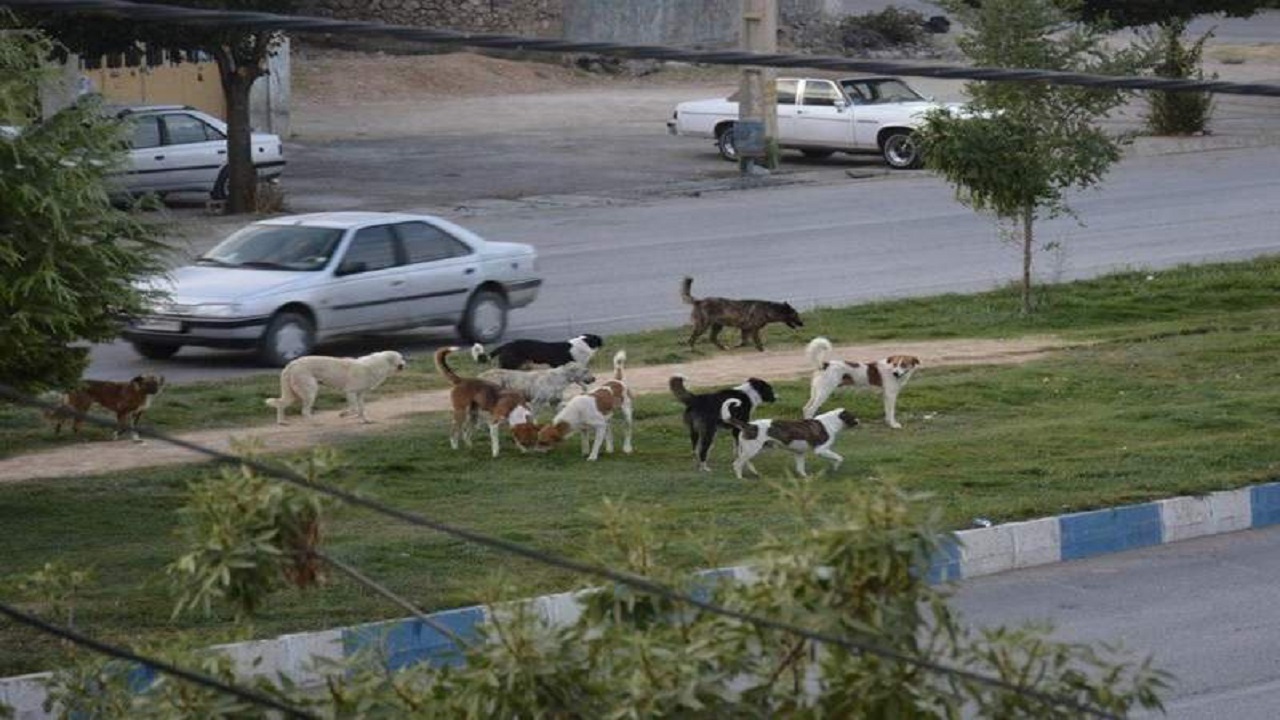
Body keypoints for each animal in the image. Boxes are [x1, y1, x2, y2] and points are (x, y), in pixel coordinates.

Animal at [267, 348, 407, 420]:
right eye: (400, 358)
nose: (405, 364)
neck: (377, 365)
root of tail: (292, 363)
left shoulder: (360, 394)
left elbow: (361, 408)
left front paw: (365, 420)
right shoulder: (350, 392)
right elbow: (354, 408)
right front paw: (344, 414)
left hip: (294, 393)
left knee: (281, 405)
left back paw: (282, 423)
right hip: (310, 392)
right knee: (304, 412)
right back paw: (315, 422)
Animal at [721, 394, 860, 479]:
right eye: (853, 416)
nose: (859, 421)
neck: (832, 422)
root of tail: (748, 425)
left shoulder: (799, 453)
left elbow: (800, 468)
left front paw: (805, 477)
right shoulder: (821, 450)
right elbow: (839, 458)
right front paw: (835, 467)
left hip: (755, 449)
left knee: (745, 461)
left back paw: (755, 473)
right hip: (752, 449)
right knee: (737, 463)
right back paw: (740, 478)